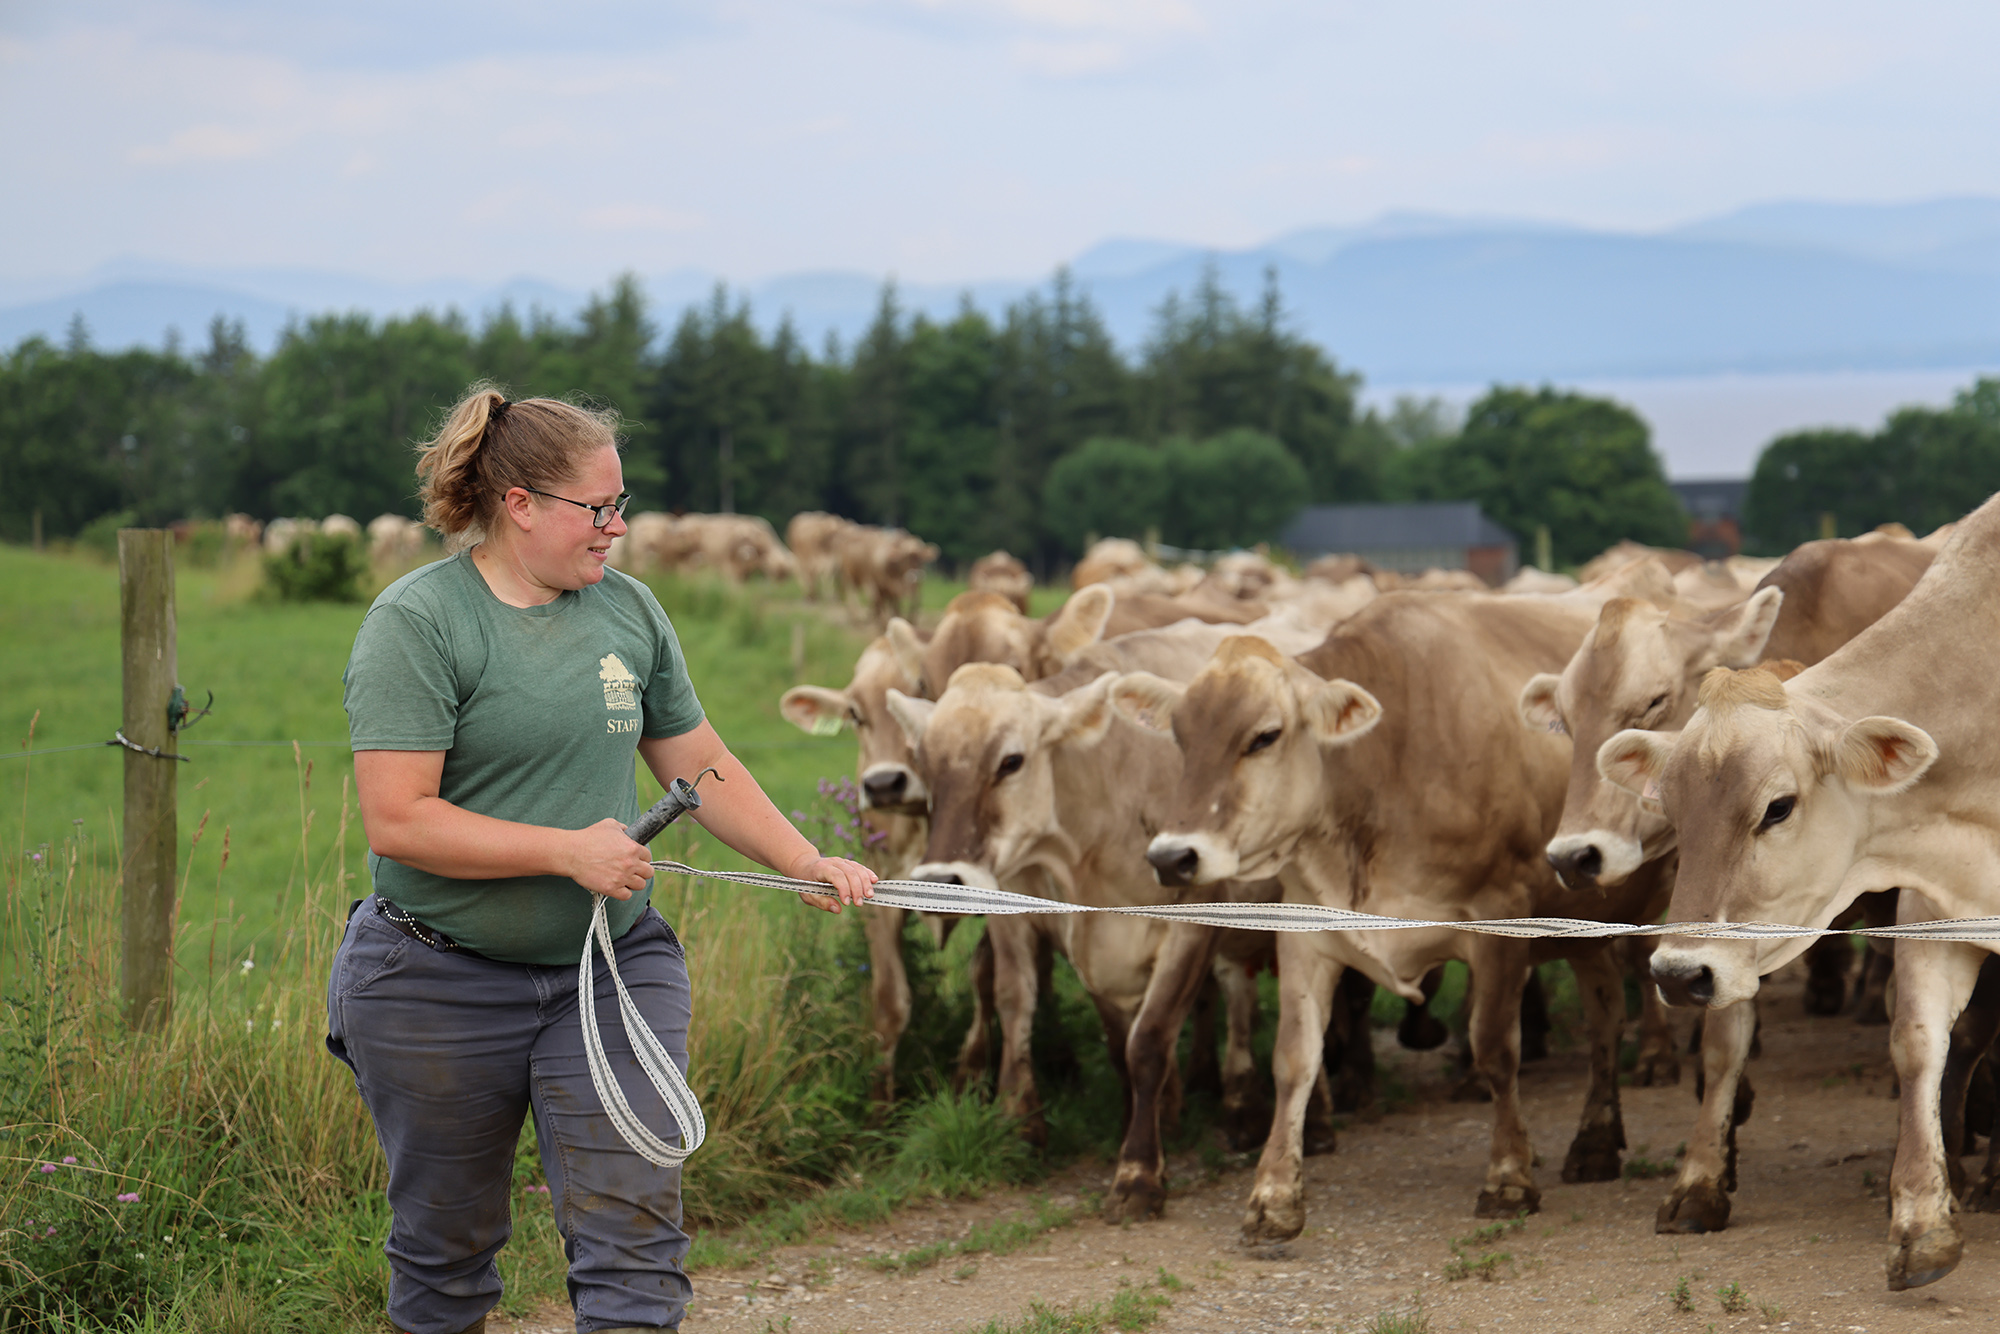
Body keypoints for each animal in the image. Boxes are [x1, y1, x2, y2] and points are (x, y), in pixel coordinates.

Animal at [1120, 584, 1680, 1240]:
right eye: (1180, 738)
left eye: (1264, 736)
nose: (1172, 857)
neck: (1386, 767)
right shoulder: (1307, 930)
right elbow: (1293, 1059)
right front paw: (1273, 1194)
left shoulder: (1501, 916)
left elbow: (1496, 1048)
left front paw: (1508, 1177)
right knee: (1605, 1016)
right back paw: (1595, 1141)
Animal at [1592, 494, 2000, 1296]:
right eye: (1672, 809)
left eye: (1777, 808)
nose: (1678, 974)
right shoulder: (1935, 905)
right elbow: (1917, 1040)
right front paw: (1921, 1222)